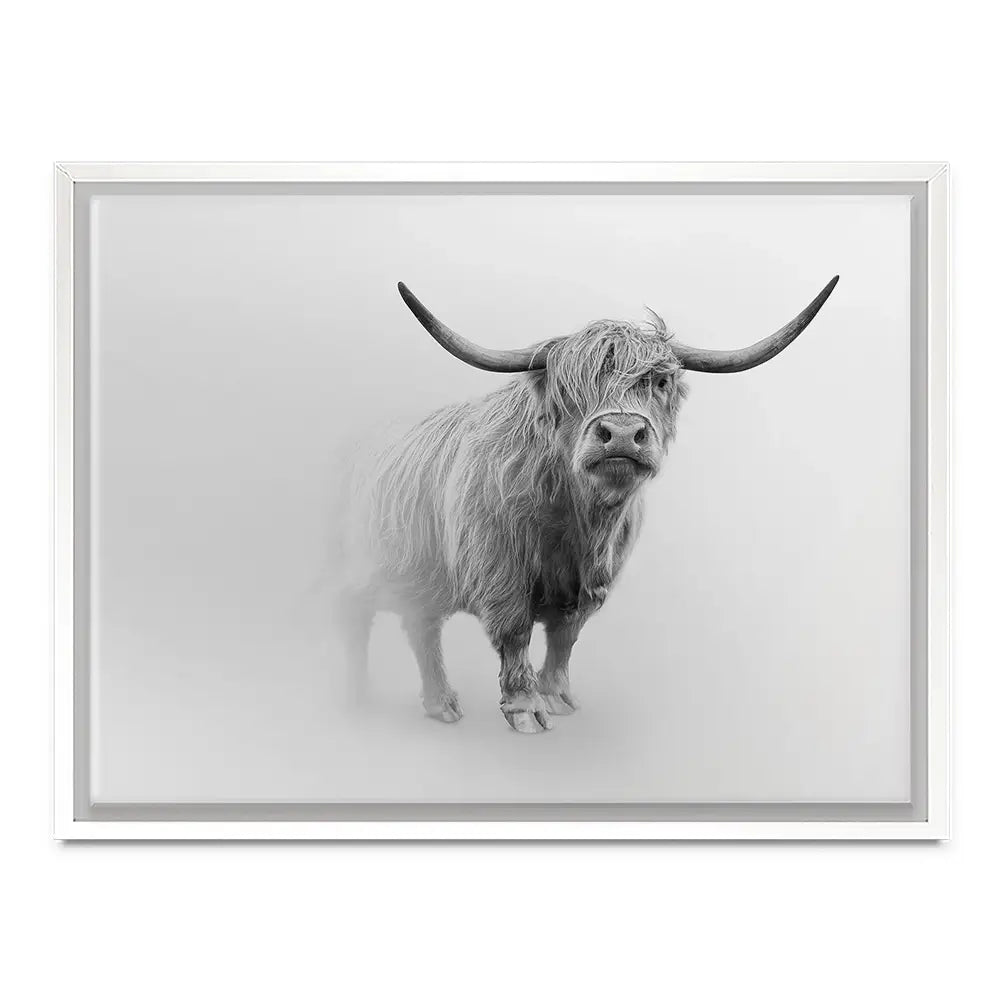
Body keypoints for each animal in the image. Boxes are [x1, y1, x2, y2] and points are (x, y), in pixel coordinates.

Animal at [332, 276, 839, 733]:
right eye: (568, 389)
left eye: (659, 381)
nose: (622, 433)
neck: (576, 518)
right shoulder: (499, 570)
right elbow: (515, 633)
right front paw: (525, 708)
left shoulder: (593, 580)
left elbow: (565, 636)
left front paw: (557, 697)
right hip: (364, 565)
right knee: (356, 614)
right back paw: (355, 695)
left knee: (421, 627)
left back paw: (440, 704)